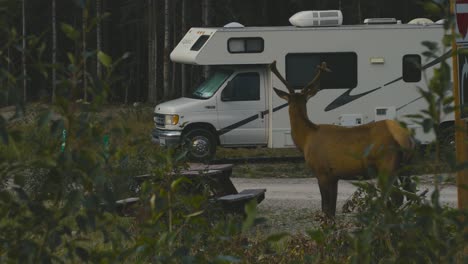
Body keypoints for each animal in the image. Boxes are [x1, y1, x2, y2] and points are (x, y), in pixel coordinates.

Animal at [268, 61, 414, 217]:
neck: (306, 139)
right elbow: (331, 209)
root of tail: (406, 138)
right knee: (409, 194)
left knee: (396, 197)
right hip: (405, 168)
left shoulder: (322, 171)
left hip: (387, 165)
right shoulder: (334, 176)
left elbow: (326, 208)